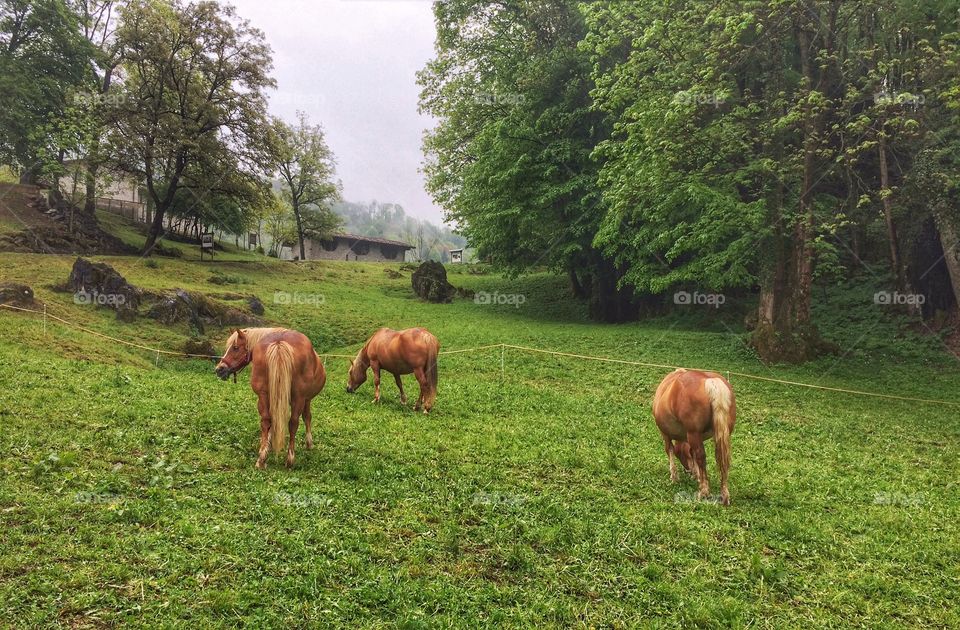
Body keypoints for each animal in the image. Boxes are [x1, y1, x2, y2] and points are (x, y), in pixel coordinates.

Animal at [215, 327, 326, 469]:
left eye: (235, 347)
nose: (219, 369)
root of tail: (279, 343)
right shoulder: (305, 399)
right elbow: (306, 417)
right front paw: (308, 443)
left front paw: (267, 446)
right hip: (297, 398)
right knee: (293, 422)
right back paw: (289, 458)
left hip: (265, 395)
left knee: (267, 420)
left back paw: (262, 459)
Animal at [652, 368, 736, 505]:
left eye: (679, 455)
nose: (688, 470)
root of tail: (710, 381)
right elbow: (693, 454)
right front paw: (697, 475)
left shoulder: (665, 434)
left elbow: (670, 450)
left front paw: (674, 477)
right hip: (722, 434)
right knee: (723, 459)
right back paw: (724, 495)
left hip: (693, 433)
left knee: (701, 456)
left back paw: (704, 492)